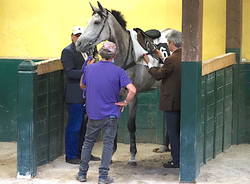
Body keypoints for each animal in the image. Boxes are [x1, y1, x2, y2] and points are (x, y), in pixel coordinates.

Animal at [76, 1, 172, 165]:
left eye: (96, 22)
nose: (79, 43)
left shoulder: (133, 96)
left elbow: (130, 125)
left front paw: (132, 156)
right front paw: (111, 154)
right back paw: (165, 146)